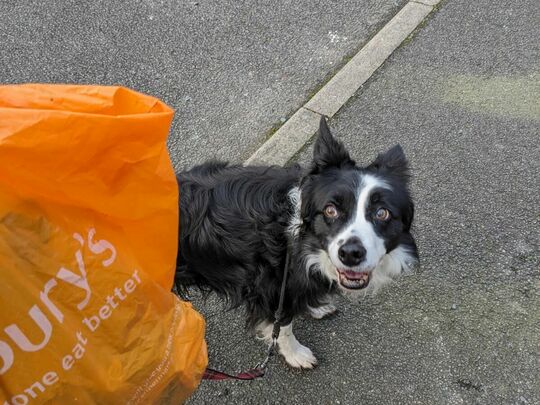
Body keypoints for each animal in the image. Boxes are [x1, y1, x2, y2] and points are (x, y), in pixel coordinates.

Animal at [177, 117, 418, 370]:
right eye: (330, 210)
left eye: (382, 213)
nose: (351, 254)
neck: (296, 235)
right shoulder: (270, 285)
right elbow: (282, 325)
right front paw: (296, 354)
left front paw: (316, 307)